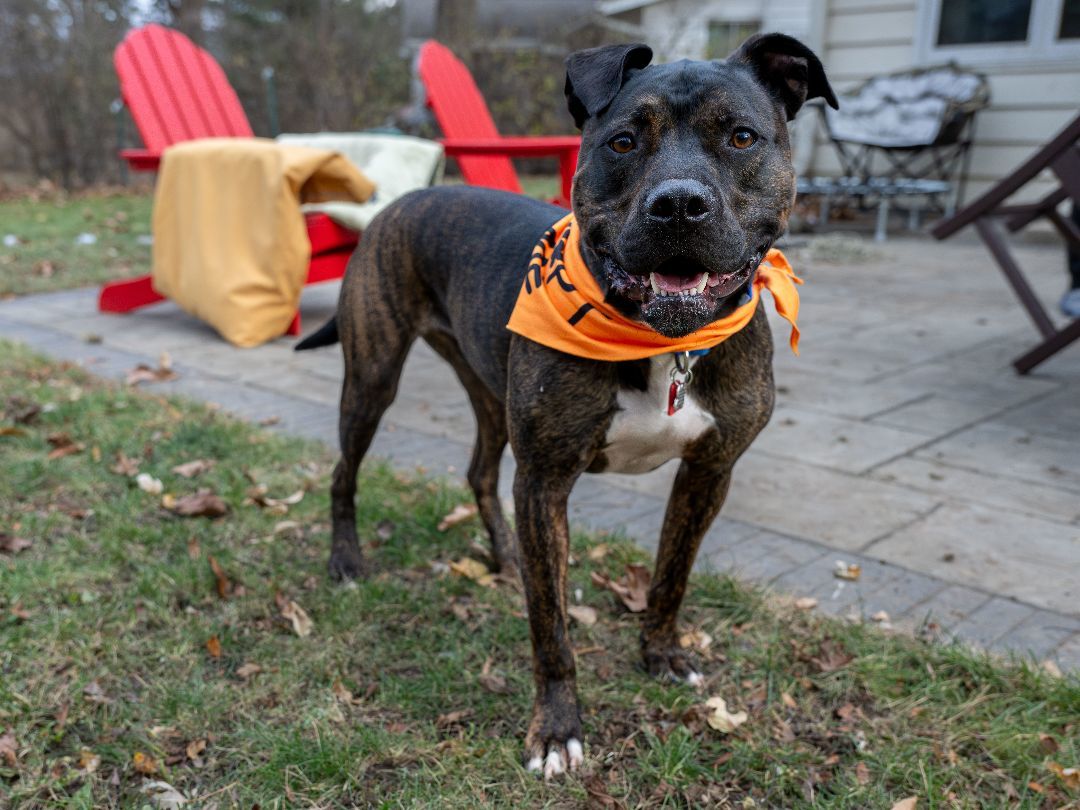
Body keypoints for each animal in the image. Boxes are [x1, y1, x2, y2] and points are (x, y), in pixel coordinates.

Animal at [295, 33, 833, 781]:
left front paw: (661, 655)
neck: (662, 338)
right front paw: (556, 731)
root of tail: (402, 201)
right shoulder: (546, 479)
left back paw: (504, 558)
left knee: (480, 472)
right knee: (346, 470)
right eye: (623, 142)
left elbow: (672, 575)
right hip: (373, 376)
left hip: (489, 393)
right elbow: (550, 625)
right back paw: (347, 561)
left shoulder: (709, 472)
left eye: (741, 137)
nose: (678, 204)